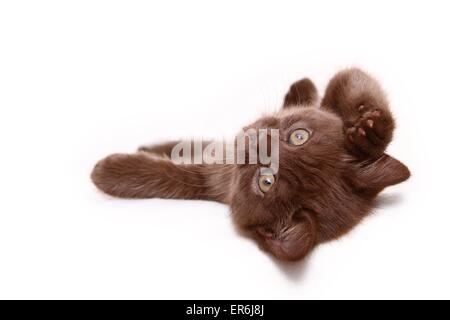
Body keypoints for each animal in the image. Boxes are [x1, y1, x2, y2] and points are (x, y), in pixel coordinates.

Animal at [92, 69, 412, 262]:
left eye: (265, 181)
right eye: (299, 136)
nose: (257, 139)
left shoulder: (213, 180)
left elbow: (170, 176)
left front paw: (109, 171)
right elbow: (348, 81)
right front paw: (369, 133)